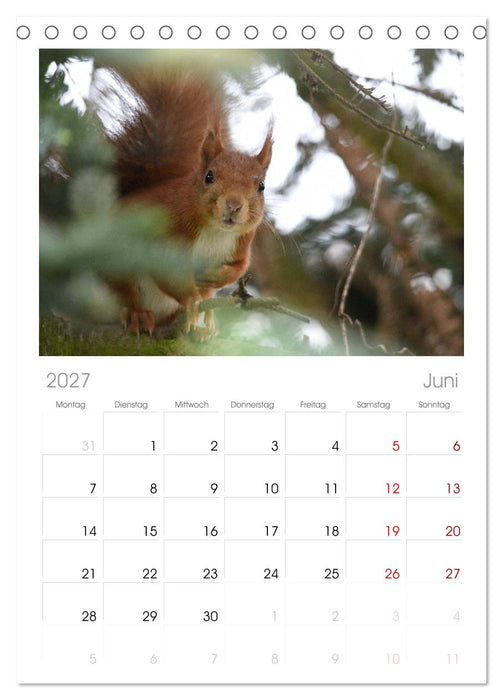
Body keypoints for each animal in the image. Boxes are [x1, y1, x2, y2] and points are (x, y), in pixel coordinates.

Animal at [93, 67, 273, 338]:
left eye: (261, 186)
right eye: (209, 176)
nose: (233, 205)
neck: (215, 231)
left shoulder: (240, 246)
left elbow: (237, 270)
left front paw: (213, 279)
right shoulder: (168, 232)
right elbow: (169, 274)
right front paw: (191, 301)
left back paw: (202, 327)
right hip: (118, 262)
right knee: (123, 292)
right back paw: (137, 313)